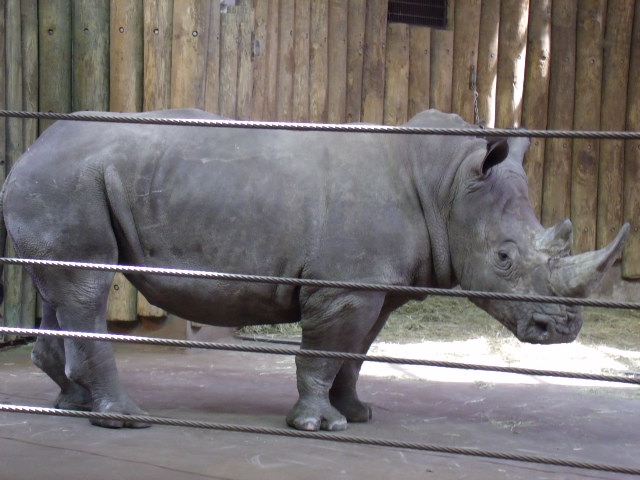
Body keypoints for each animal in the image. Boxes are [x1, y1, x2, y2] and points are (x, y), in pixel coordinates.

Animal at [0, 109, 629, 431]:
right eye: (503, 258)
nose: (562, 330)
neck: (449, 182)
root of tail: (32, 146)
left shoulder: (377, 287)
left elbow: (356, 353)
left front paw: (358, 413)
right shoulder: (344, 287)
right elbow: (326, 352)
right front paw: (319, 425)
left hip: (63, 183)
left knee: (58, 290)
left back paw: (72, 403)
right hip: (67, 180)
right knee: (86, 287)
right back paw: (126, 418)